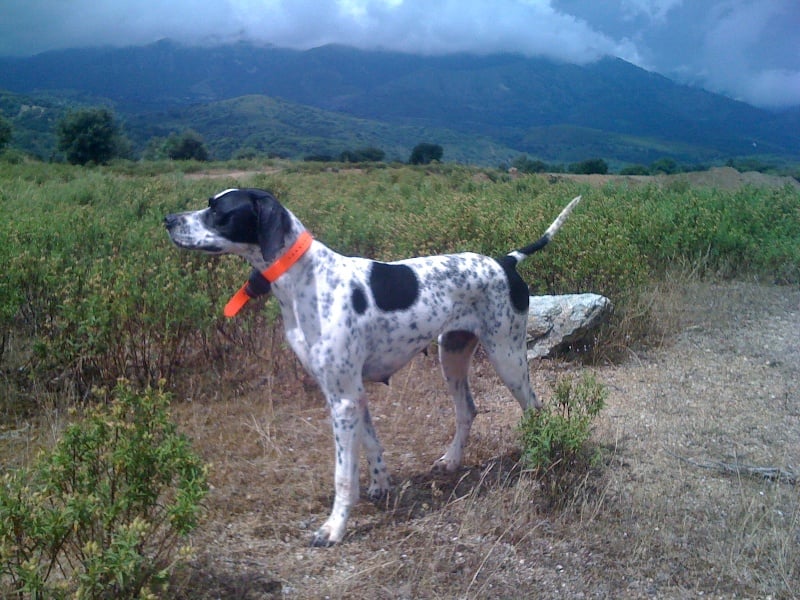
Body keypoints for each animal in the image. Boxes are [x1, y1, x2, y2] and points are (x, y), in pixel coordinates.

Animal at [162, 189, 580, 548]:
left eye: (218, 211)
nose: (167, 219)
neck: (308, 279)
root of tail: (504, 261)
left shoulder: (342, 399)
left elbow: (344, 475)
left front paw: (334, 528)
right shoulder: (351, 392)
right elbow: (372, 443)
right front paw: (380, 485)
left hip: (508, 357)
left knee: (534, 410)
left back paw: (536, 462)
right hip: (452, 355)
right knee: (467, 411)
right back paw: (451, 460)